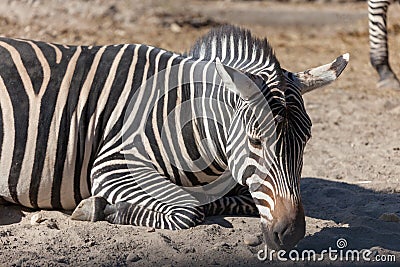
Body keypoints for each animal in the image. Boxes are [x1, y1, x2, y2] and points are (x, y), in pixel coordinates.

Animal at [0, 25, 346, 251]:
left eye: (306, 140)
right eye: (256, 141)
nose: (291, 235)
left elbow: (236, 199)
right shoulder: (114, 164)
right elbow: (189, 209)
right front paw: (101, 208)